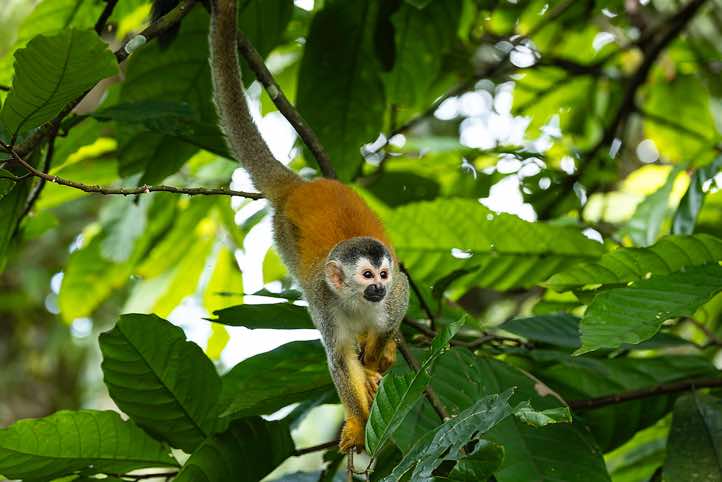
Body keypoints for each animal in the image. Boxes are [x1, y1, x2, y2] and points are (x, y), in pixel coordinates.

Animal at [201, 0, 410, 452]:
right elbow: (338, 360)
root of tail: (300, 187)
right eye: (366, 276)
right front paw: (358, 421)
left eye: (383, 275)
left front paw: (379, 353)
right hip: (283, 235)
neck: (357, 303)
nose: (378, 288)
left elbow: (394, 312)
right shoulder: (325, 303)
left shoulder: (395, 296)